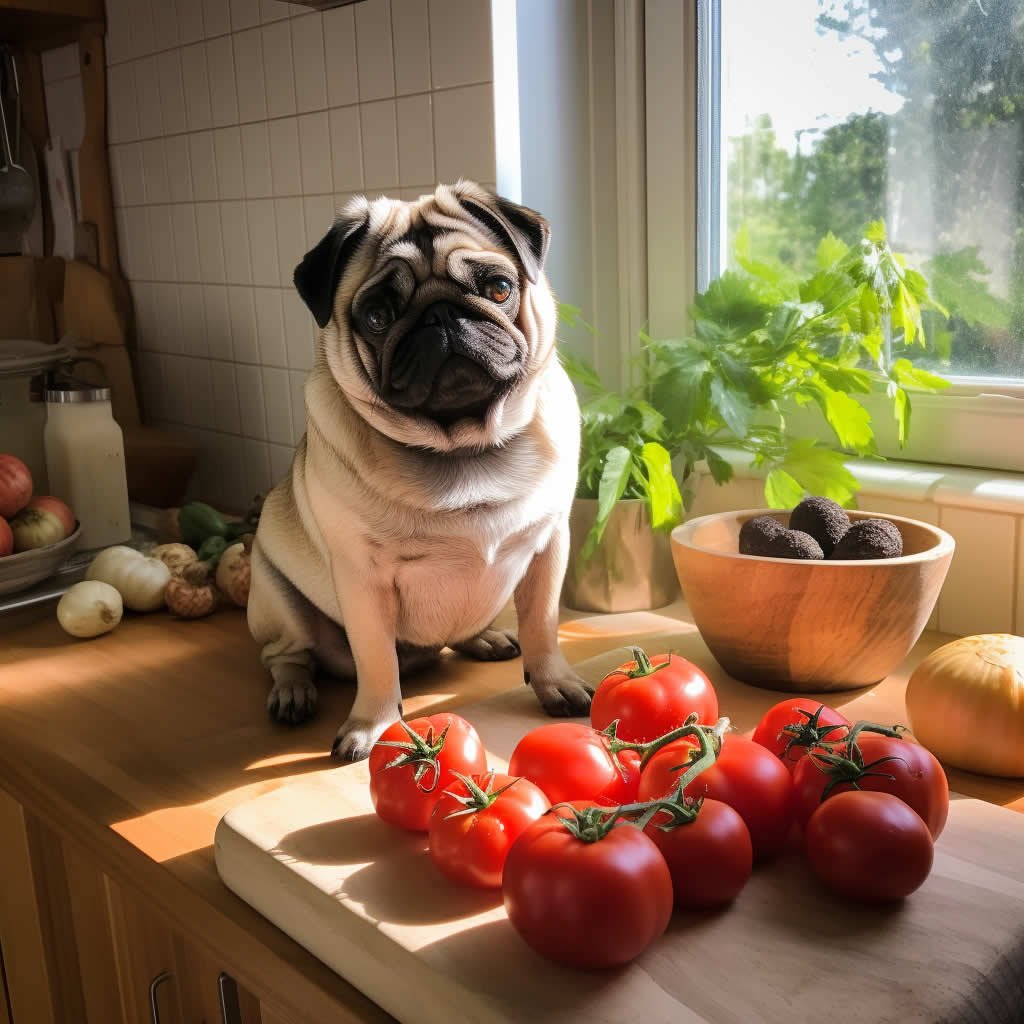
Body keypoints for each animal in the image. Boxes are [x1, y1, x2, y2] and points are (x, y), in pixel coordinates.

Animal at [244, 182, 593, 761]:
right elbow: (376, 661)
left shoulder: (549, 546)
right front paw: (374, 724)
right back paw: (293, 692)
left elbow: (543, 627)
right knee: (287, 656)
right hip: (278, 601)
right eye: (377, 317)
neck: (463, 446)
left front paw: (554, 683)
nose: (440, 316)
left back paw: (485, 637)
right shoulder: (362, 578)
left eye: (499, 288)